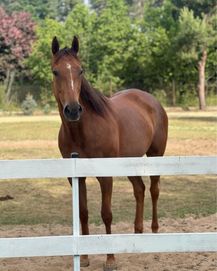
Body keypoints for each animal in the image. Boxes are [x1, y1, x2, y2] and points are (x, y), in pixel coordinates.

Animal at [50, 36, 168, 271]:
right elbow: (83, 213)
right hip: (130, 161)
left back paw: (154, 232)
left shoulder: (105, 176)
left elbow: (106, 214)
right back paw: (138, 232)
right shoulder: (76, 177)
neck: (82, 130)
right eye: (55, 71)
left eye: (80, 70)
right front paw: (85, 257)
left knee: (154, 190)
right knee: (140, 190)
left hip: (155, 156)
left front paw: (110, 259)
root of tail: (152, 101)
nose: (73, 110)